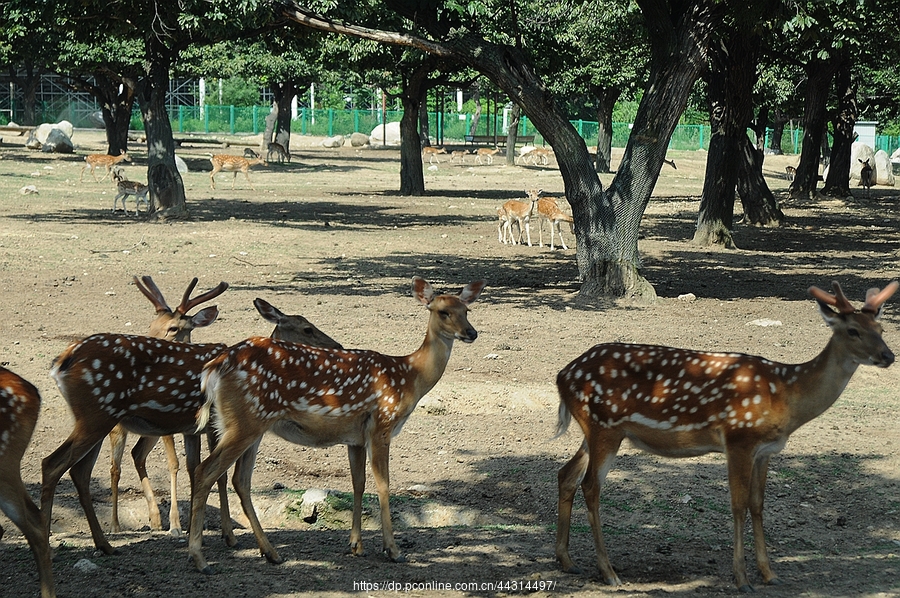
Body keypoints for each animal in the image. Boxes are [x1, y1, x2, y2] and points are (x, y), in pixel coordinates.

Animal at [186, 278, 488, 576]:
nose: (471, 332)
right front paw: (393, 550)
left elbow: (359, 483)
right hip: (244, 422)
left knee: (240, 479)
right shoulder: (382, 423)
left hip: (253, 425)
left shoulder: (355, 437)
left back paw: (271, 553)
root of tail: (214, 367)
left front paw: (356, 545)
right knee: (205, 471)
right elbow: (384, 484)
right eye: (443, 311)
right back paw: (199, 558)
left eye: (467, 310)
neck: (409, 376)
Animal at [552, 282, 896, 596]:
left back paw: (567, 561)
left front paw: (769, 573)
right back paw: (608, 572)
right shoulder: (739, 438)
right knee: (590, 485)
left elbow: (758, 504)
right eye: (852, 330)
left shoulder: (765, 450)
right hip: (605, 425)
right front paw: (741, 578)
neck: (786, 397)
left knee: (566, 474)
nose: (888, 355)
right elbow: (738, 505)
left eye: (880, 327)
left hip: (596, 429)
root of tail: (562, 376)